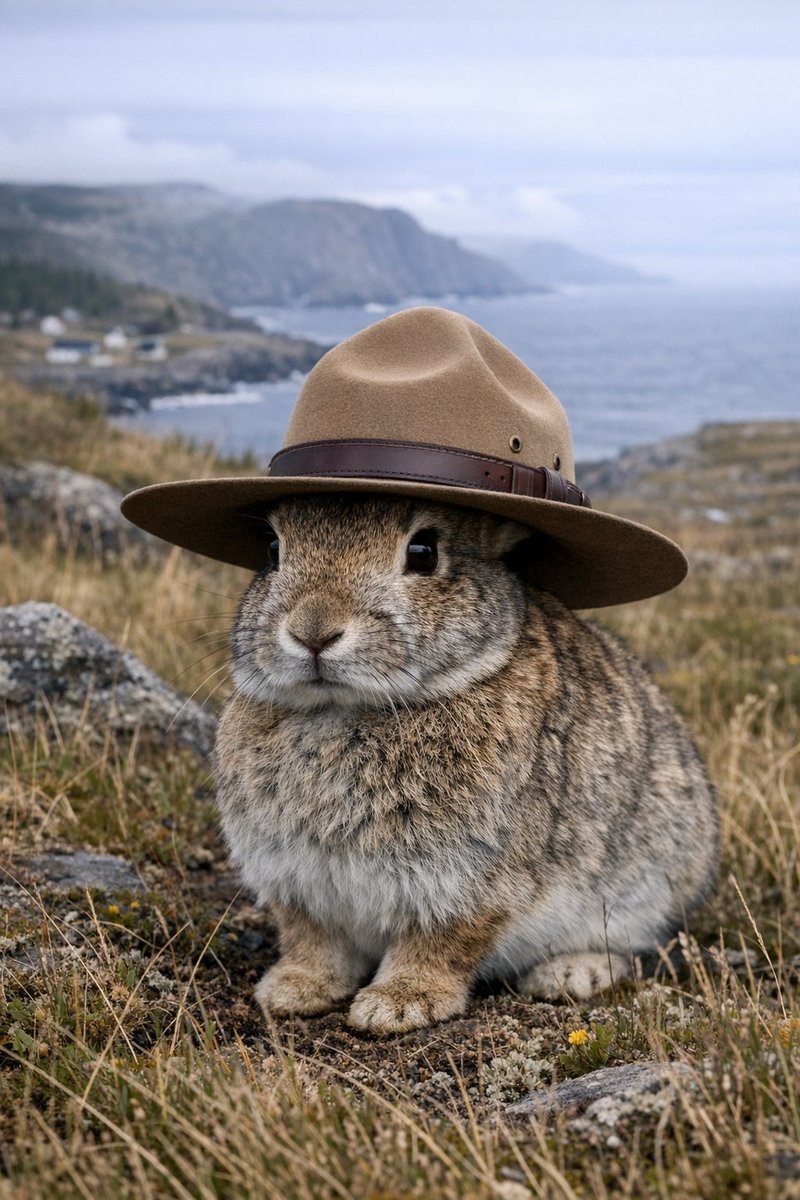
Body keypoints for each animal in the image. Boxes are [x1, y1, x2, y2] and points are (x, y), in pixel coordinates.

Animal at [214, 492, 718, 1034]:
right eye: (272, 549)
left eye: (423, 552)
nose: (313, 632)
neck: (345, 710)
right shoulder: (296, 883)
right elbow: (313, 941)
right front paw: (292, 989)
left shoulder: (471, 882)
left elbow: (440, 943)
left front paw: (399, 1004)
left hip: (646, 887)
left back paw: (568, 975)